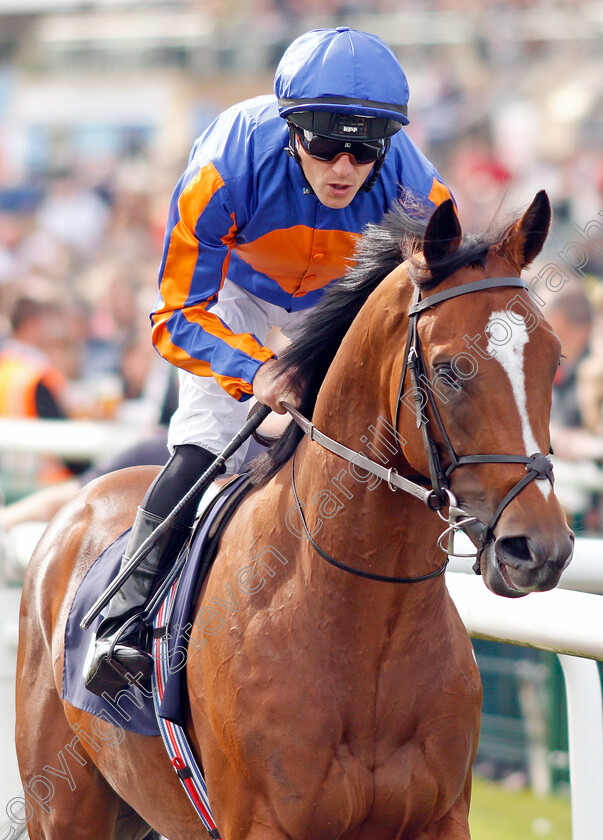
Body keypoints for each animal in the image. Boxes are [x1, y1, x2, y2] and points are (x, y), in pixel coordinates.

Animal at [14, 192, 572, 840]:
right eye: (451, 368)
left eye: (555, 359)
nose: (539, 547)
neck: (362, 628)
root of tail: (78, 502)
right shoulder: (265, 822)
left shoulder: (441, 817)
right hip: (63, 804)